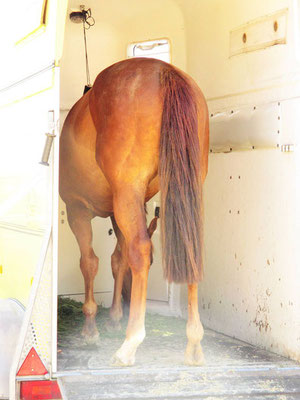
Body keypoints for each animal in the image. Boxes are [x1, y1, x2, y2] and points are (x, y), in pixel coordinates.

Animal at [58, 57, 209, 368]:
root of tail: (165, 71)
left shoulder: (77, 209)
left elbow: (90, 262)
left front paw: (90, 328)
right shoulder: (118, 212)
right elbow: (118, 260)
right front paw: (114, 318)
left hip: (127, 193)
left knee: (140, 249)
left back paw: (130, 344)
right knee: (190, 250)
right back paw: (194, 343)